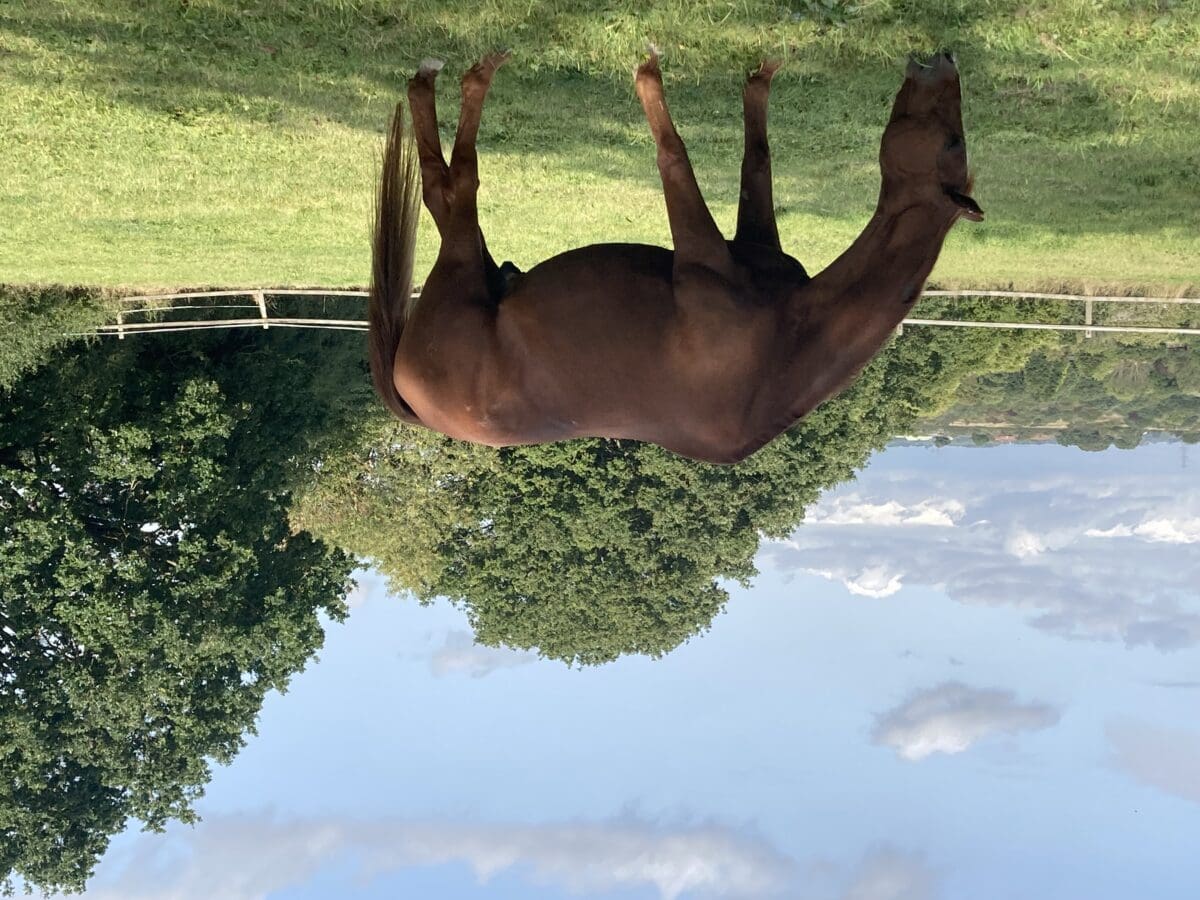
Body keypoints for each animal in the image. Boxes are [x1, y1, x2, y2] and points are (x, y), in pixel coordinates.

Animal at [369, 50, 982, 465]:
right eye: (956, 141)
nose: (946, 61)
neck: (783, 349)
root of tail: (407, 391)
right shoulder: (745, 240)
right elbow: (756, 156)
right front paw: (760, 77)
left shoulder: (702, 252)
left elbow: (674, 153)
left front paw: (649, 77)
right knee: (446, 185)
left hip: (465, 269)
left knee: (453, 185)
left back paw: (459, 77)